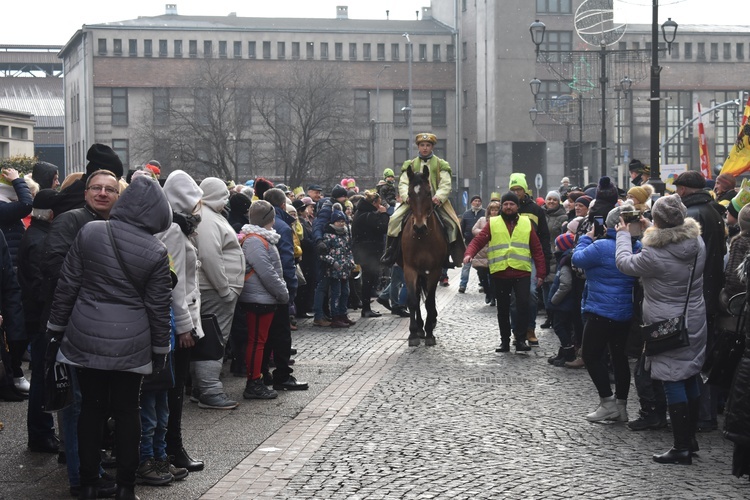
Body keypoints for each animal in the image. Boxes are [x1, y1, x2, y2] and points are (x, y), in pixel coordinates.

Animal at [402, 166, 450, 346]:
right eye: (409, 194)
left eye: (429, 193)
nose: (419, 227)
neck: (422, 238)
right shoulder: (409, 269)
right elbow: (412, 301)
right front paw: (413, 334)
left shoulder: (434, 270)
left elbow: (429, 302)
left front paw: (429, 333)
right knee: (416, 296)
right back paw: (419, 328)